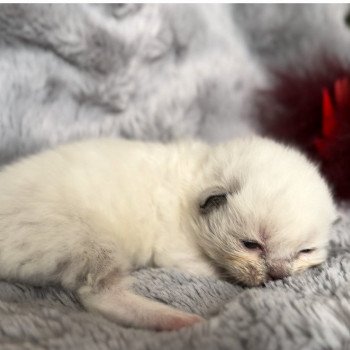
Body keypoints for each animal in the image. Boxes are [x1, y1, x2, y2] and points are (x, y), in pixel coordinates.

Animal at [0, 137, 336, 330]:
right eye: (250, 244)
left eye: (305, 251)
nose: (278, 276)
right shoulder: (176, 250)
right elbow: (213, 271)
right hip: (85, 237)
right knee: (99, 295)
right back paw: (178, 320)